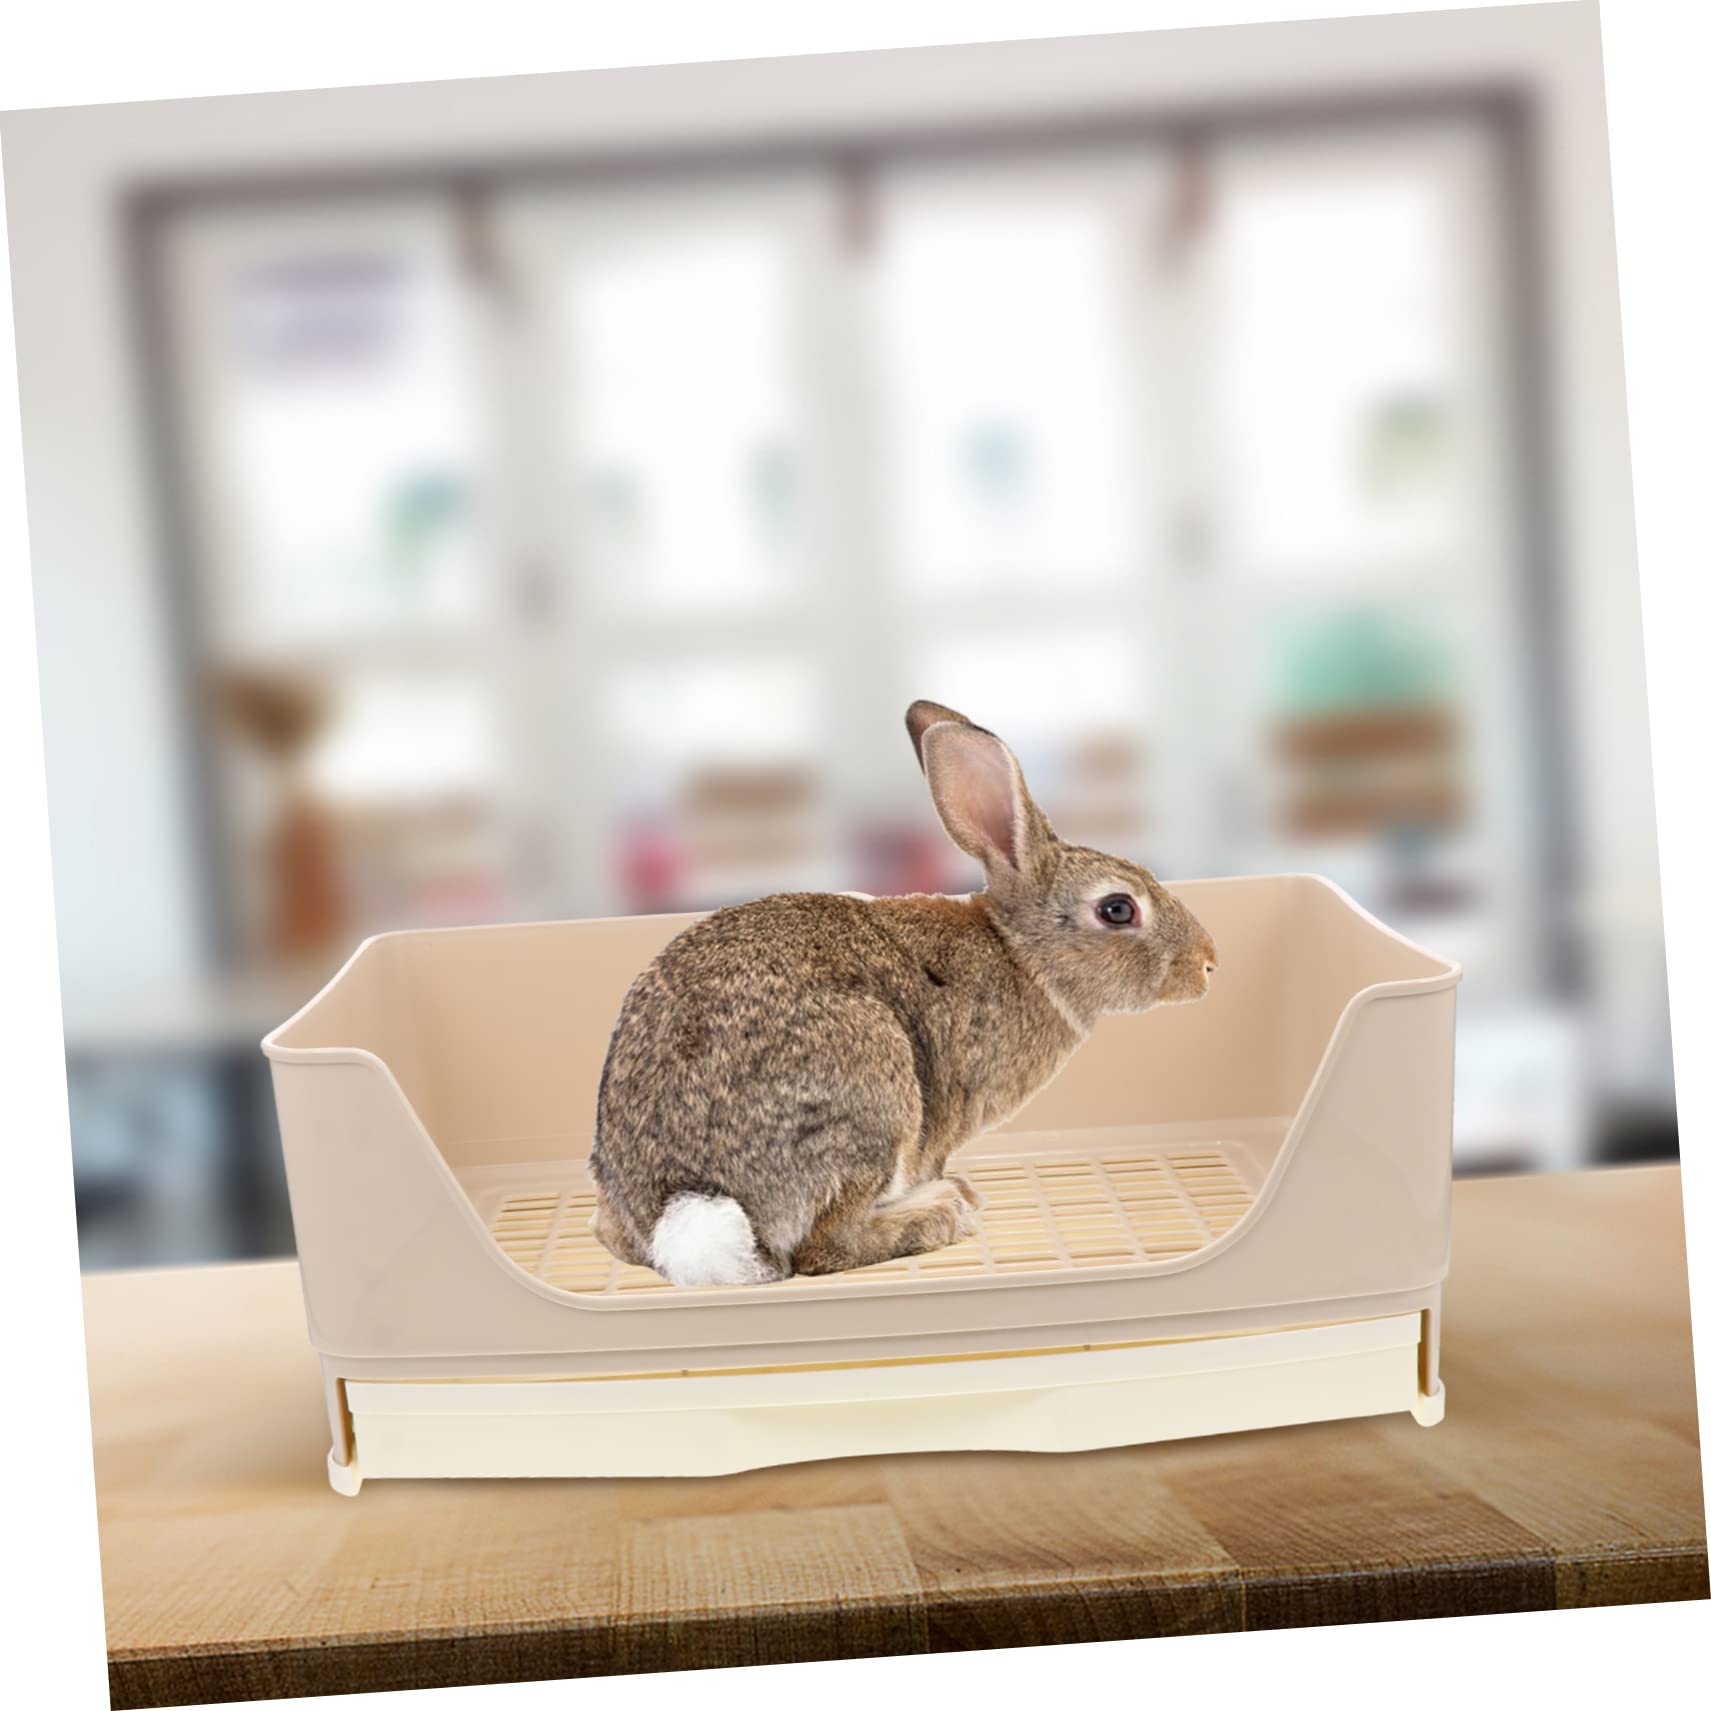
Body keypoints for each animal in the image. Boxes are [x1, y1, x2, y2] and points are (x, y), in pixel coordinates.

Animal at [588, 700, 1218, 1286]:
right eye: (1118, 909)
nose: (1208, 963)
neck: (1019, 952)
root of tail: (683, 1207)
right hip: (874, 1086)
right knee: (822, 1248)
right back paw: (942, 1210)